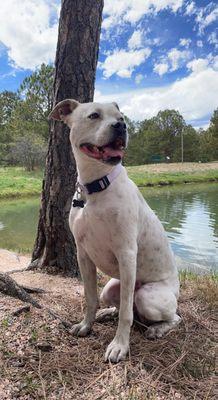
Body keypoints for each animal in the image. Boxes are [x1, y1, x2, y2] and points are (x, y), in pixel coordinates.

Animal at [49, 99, 181, 362]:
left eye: (121, 117)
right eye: (94, 115)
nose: (121, 126)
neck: (95, 187)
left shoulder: (127, 254)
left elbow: (127, 314)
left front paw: (120, 345)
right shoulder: (83, 254)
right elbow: (90, 297)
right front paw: (86, 325)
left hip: (148, 295)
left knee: (170, 316)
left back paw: (157, 329)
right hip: (111, 288)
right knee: (120, 302)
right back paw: (107, 312)